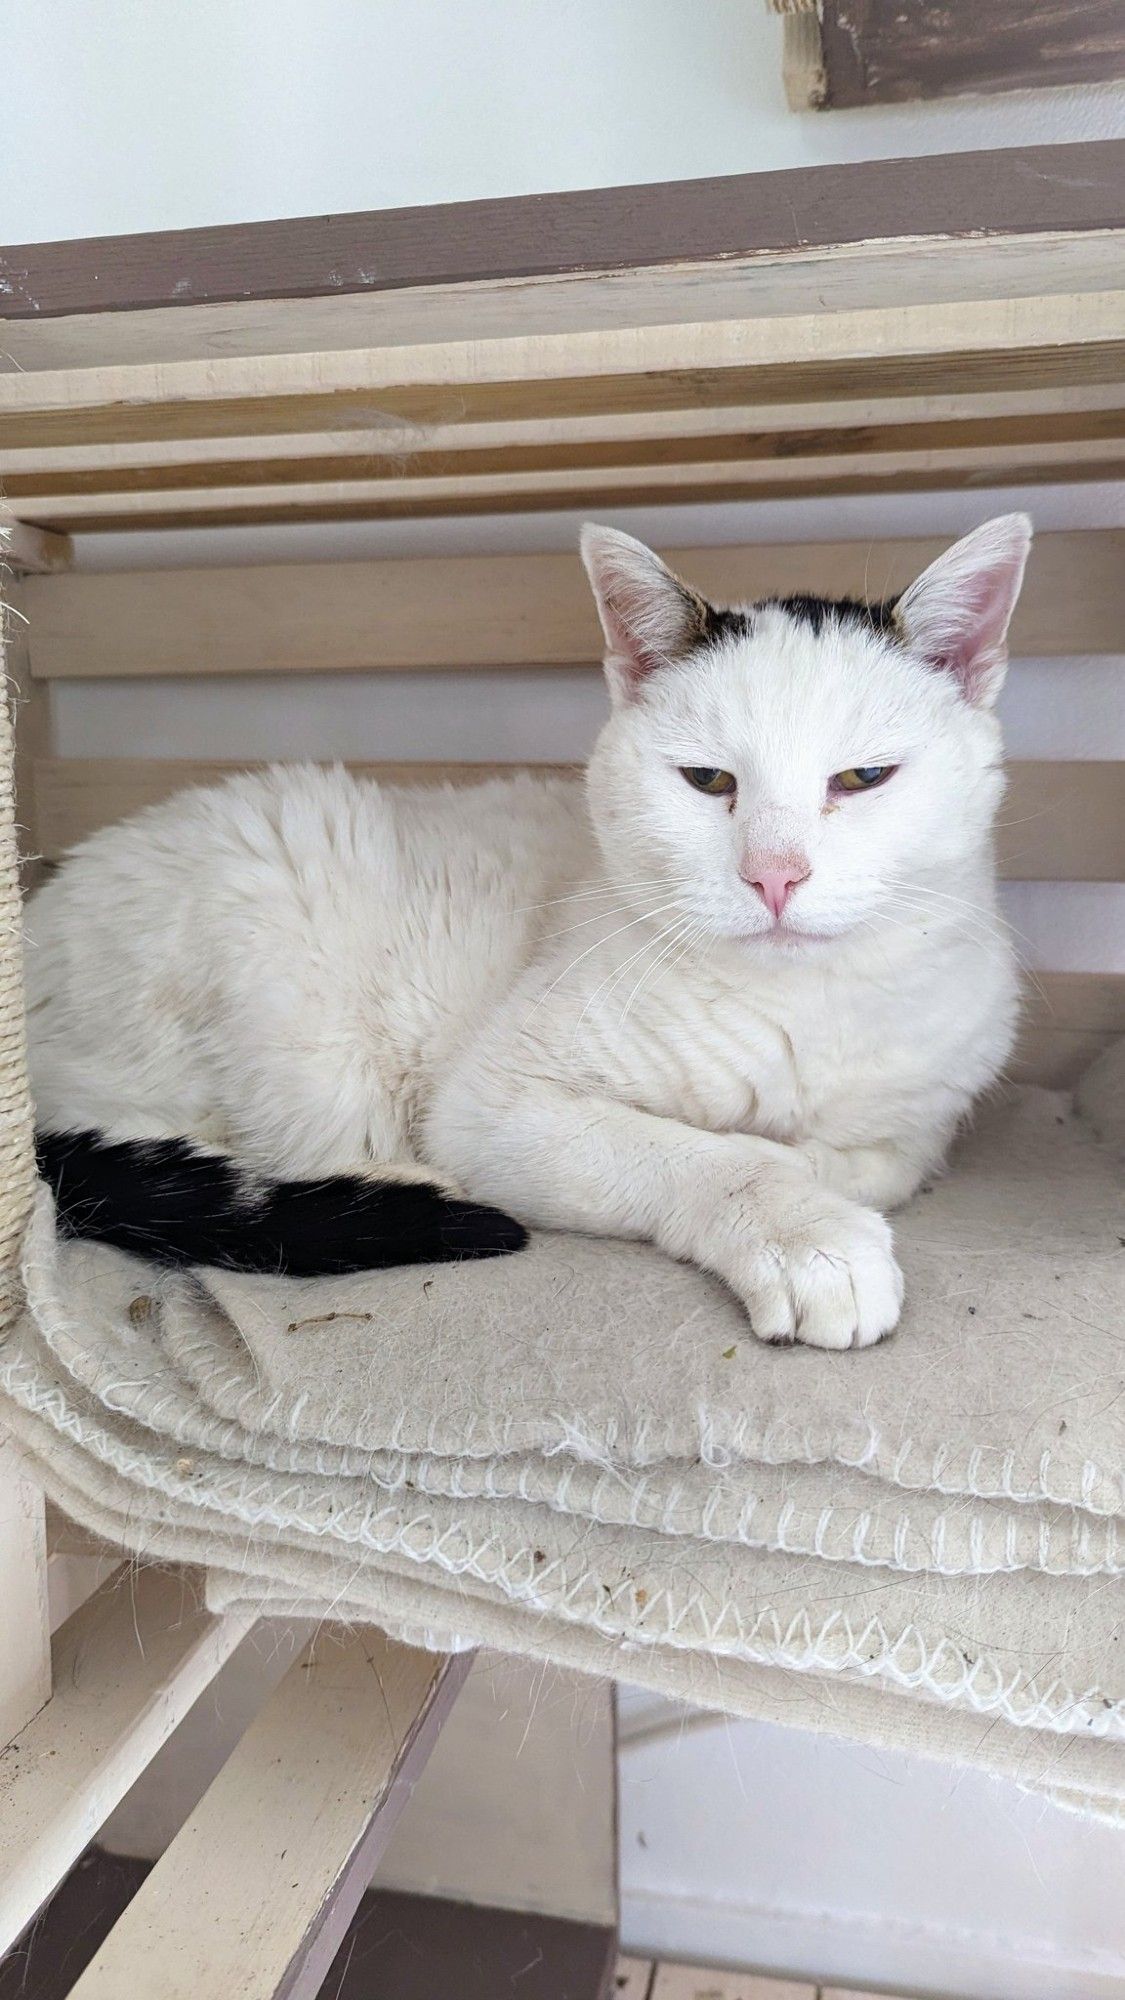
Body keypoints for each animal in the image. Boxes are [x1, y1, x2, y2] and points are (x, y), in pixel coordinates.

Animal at [26, 516, 1024, 1352]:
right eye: (706, 780)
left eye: (863, 778)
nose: (773, 875)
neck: (803, 1011)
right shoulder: (496, 1105)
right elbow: (711, 1154)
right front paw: (802, 1230)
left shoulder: (920, 1128)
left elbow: (862, 1161)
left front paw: (809, 1168)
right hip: (271, 933)